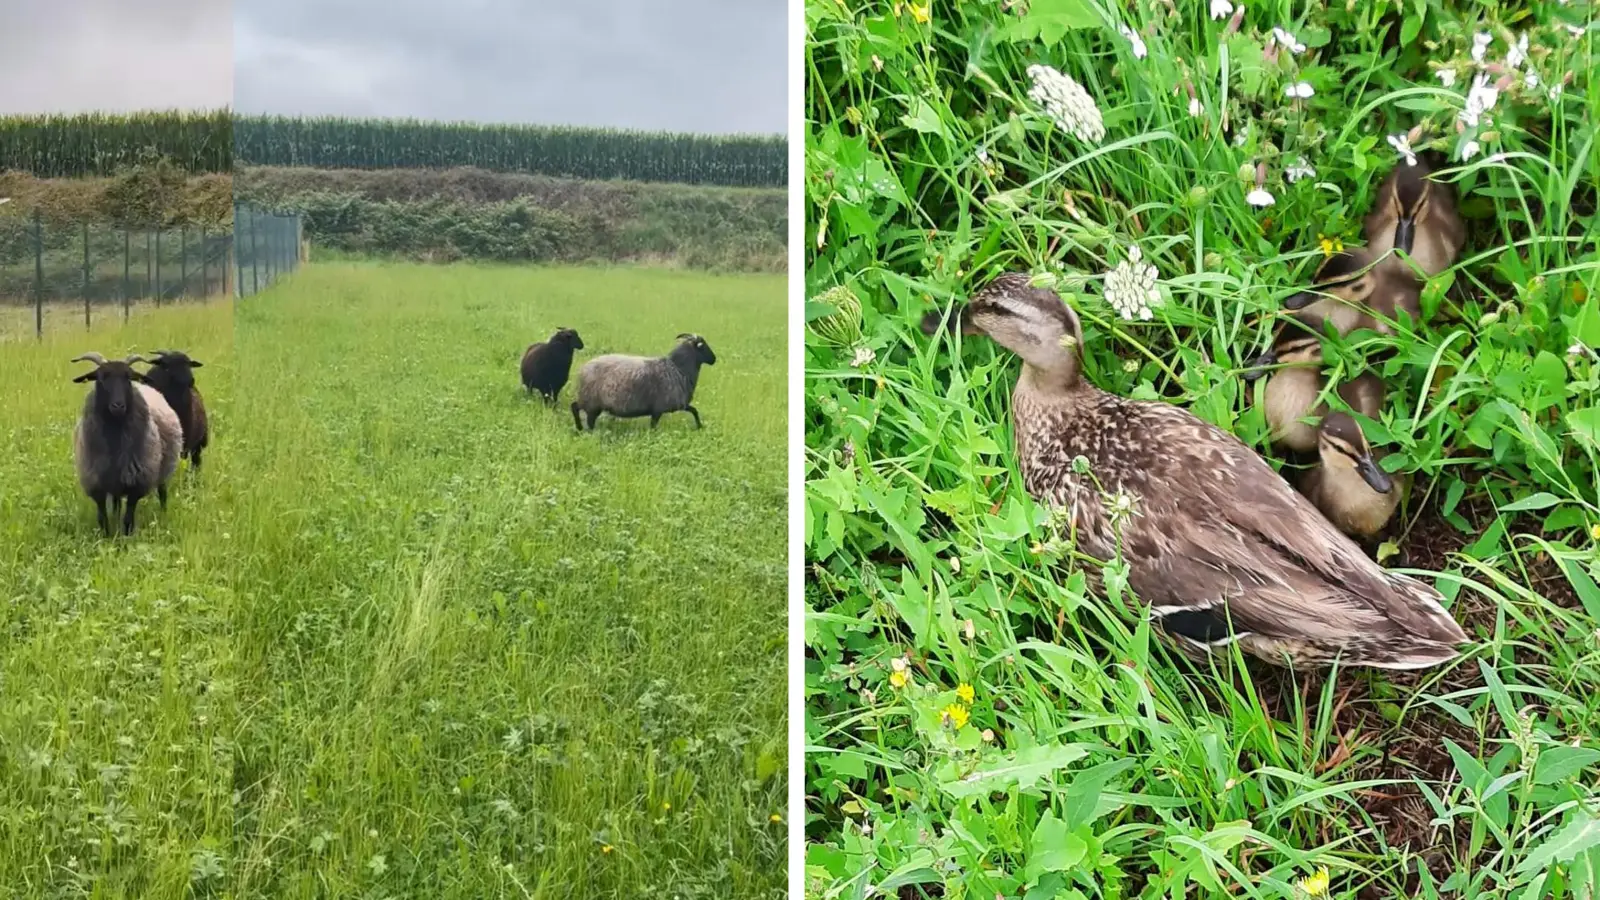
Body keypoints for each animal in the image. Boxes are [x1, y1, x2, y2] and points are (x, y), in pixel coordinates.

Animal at [70, 352, 183, 536]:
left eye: (128, 378)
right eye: (101, 377)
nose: (118, 405)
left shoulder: (137, 482)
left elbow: (129, 517)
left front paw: (127, 536)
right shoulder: (95, 481)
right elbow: (102, 516)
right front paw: (106, 536)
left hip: (164, 467)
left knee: (162, 491)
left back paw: (163, 512)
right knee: (116, 501)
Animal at [570, 333, 717, 431]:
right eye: (703, 346)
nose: (714, 359)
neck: (678, 368)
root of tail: (582, 370)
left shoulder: (677, 405)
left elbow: (694, 410)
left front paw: (699, 426)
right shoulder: (662, 408)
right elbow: (693, 411)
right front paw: (700, 426)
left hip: (589, 401)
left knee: (575, 407)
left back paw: (579, 428)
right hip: (591, 402)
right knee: (585, 417)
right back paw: (587, 431)